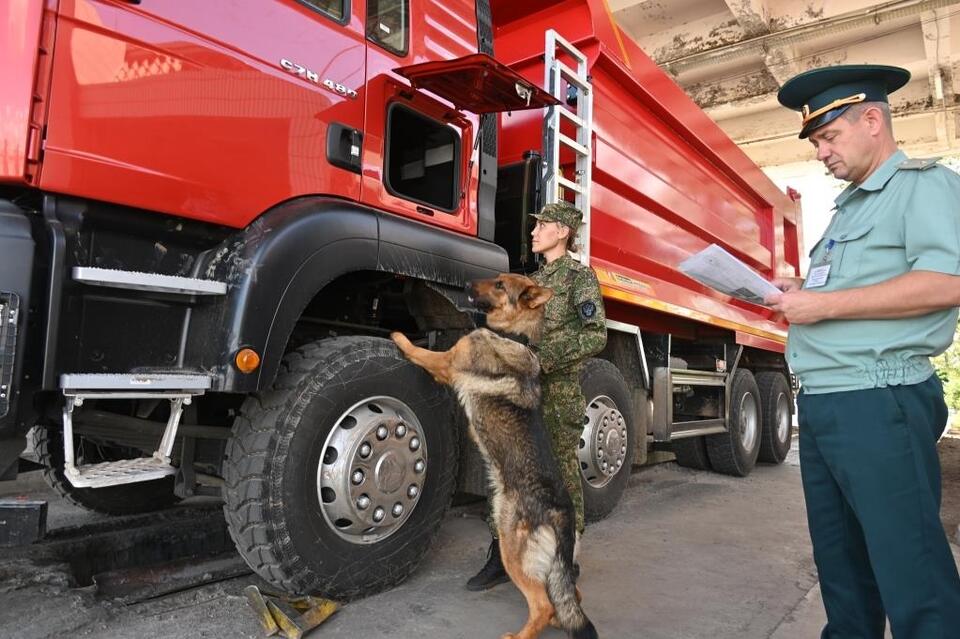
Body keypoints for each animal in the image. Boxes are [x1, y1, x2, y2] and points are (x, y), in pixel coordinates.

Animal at [390, 274, 592, 639]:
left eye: (500, 285)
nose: (467, 284)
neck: (515, 336)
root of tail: (560, 513)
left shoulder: (447, 362)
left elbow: (421, 351)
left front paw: (399, 336)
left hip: (511, 548)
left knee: (542, 604)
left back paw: (520, 635)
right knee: (571, 596)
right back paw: (559, 618)